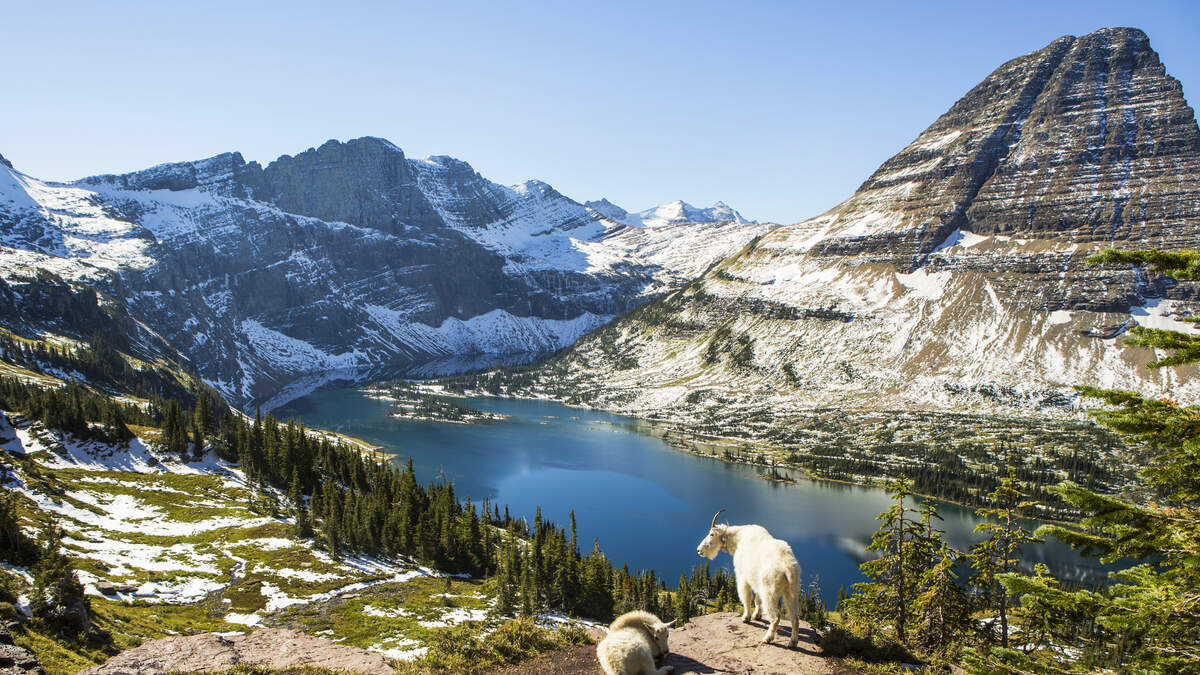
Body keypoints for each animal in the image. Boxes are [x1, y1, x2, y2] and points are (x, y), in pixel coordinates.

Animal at [700, 506, 801, 643]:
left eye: (711, 534)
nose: (699, 550)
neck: (737, 539)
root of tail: (787, 567)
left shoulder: (743, 577)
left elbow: (746, 597)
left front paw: (746, 617)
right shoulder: (757, 582)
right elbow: (757, 600)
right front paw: (756, 616)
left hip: (770, 592)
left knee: (776, 618)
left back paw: (767, 638)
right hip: (791, 591)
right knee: (795, 617)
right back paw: (793, 642)